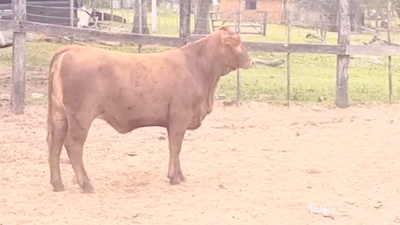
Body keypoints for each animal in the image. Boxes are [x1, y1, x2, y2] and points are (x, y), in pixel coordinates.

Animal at [46, 25, 253, 192]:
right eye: (239, 43)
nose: (251, 61)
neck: (196, 67)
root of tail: (72, 49)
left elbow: (176, 148)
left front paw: (179, 175)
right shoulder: (180, 118)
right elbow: (175, 147)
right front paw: (174, 178)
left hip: (59, 115)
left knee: (54, 144)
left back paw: (58, 184)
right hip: (81, 116)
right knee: (73, 145)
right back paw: (86, 184)